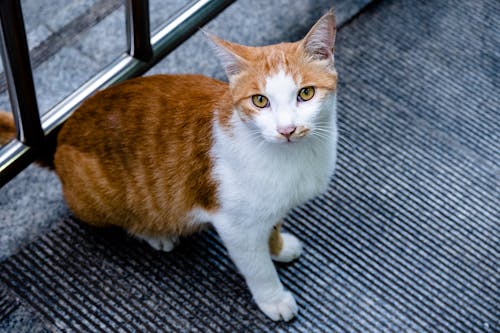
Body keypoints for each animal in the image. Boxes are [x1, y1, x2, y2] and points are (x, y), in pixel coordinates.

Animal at [0, 9, 338, 320]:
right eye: (260, 101)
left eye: (306, 93)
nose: (287, 129)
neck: (294, 157)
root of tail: (61, 138)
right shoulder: (235, 225)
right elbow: (258, 267)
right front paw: (273, 297)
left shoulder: (270, 205)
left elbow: (273, 225)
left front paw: (277, 246)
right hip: (98, 200)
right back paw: (155, 232)